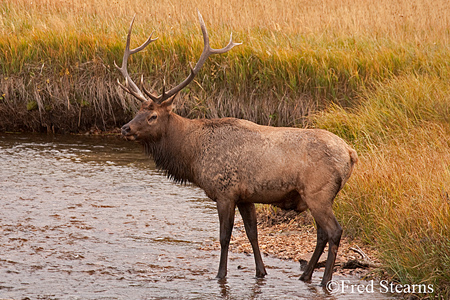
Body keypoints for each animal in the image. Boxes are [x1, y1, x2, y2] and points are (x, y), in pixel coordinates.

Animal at [116, 11, 358, 286]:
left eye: (153, 116)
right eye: (137, 110)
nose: (125, 128)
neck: (192, 156)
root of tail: (351, 154)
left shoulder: (225, 191)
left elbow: (224, 237)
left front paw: (220, 275)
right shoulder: (246, 196)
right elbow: (252, 234)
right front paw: (261, 272)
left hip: (318, 192)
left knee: (334, 231)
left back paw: (324, 280)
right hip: (317, 196)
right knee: (321, 233)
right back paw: (305, 275)